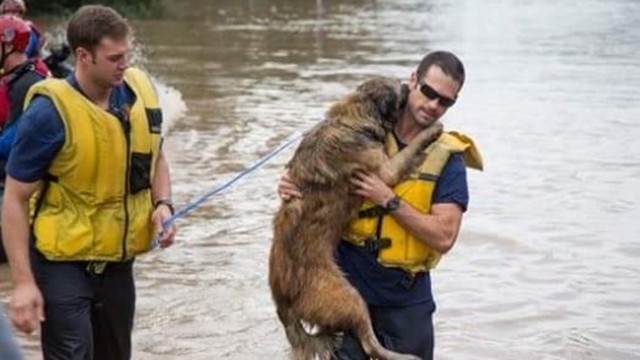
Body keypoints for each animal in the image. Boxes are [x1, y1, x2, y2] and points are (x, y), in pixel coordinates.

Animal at [268, 77, 442, 358]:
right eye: (398, 87)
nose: (407, 83)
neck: (353, 118)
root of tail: (283, 305)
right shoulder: (385, 169)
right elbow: (409, 151)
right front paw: (432, 131)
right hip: (348, 297)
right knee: (369, 342)